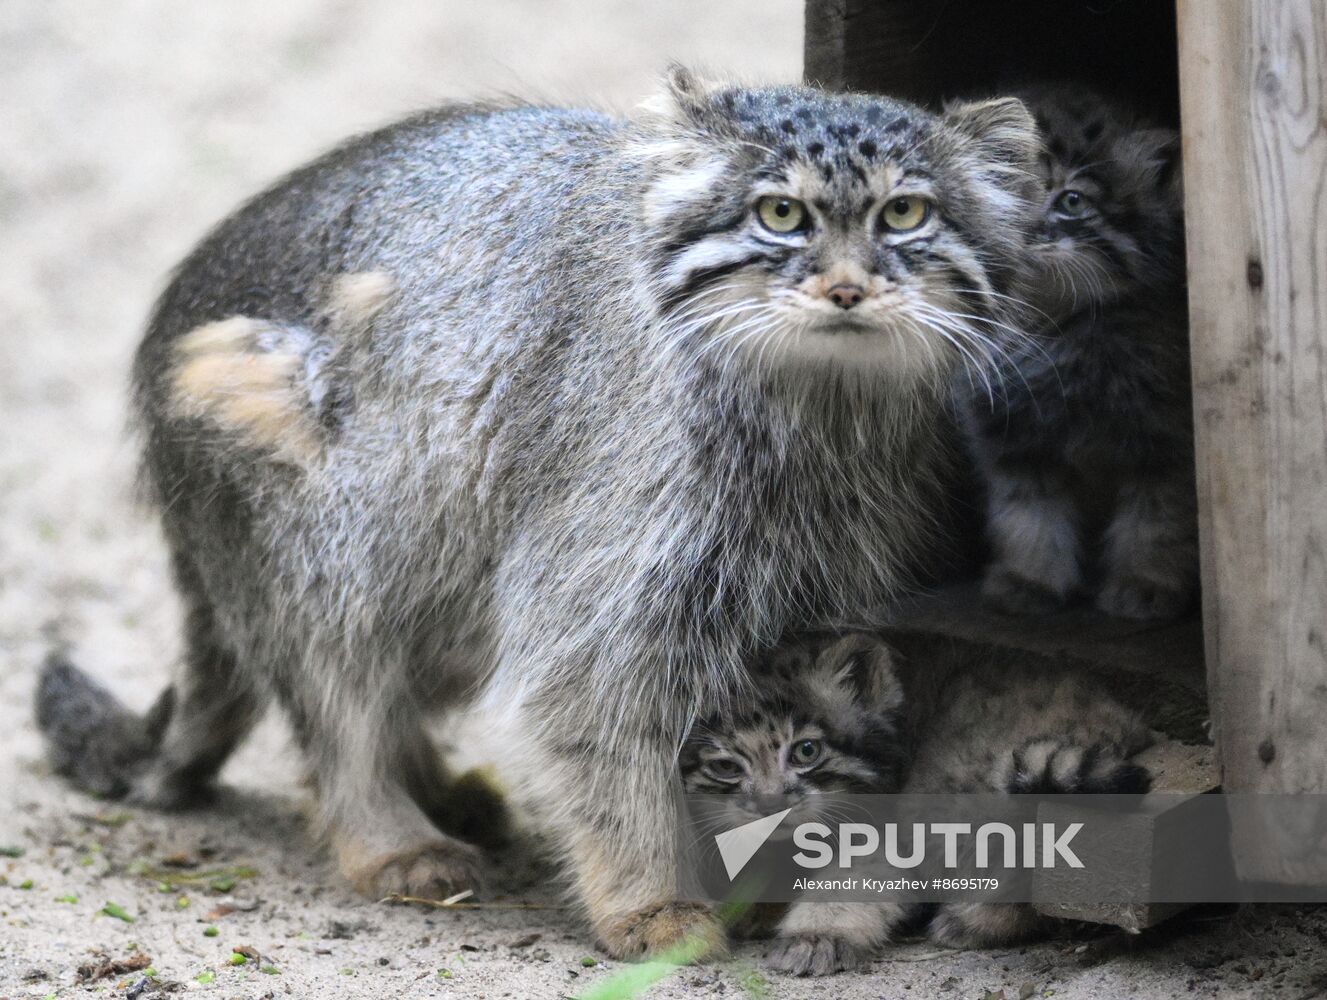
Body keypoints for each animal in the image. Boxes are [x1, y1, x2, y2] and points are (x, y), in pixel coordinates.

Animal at [36, 66, 1040, 954]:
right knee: (335, 686)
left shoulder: (830, 580)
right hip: (308, 511)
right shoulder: (608, 578)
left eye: (903, 214)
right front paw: (649, 902)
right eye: (780, 214)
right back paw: (387, 829)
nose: (844, 288)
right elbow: (598, 726)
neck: (818, 414)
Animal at [684, 631, 1151, 976]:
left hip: (952, 784)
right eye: (725, 766)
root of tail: (1120, 718)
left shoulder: (885, 830)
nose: (769, 807)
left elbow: (851, 878)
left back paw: (977, 922)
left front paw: (816, 936)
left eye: (806, 751)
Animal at [960, 83, 1199, 615]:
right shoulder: (1015, 437)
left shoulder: (1166, 440)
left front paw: (1147, 582)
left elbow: (1159, 518)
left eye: (1071, 200)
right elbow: (1028, 513)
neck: (1052, 332)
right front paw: (1031, 580)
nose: (1024, 232)